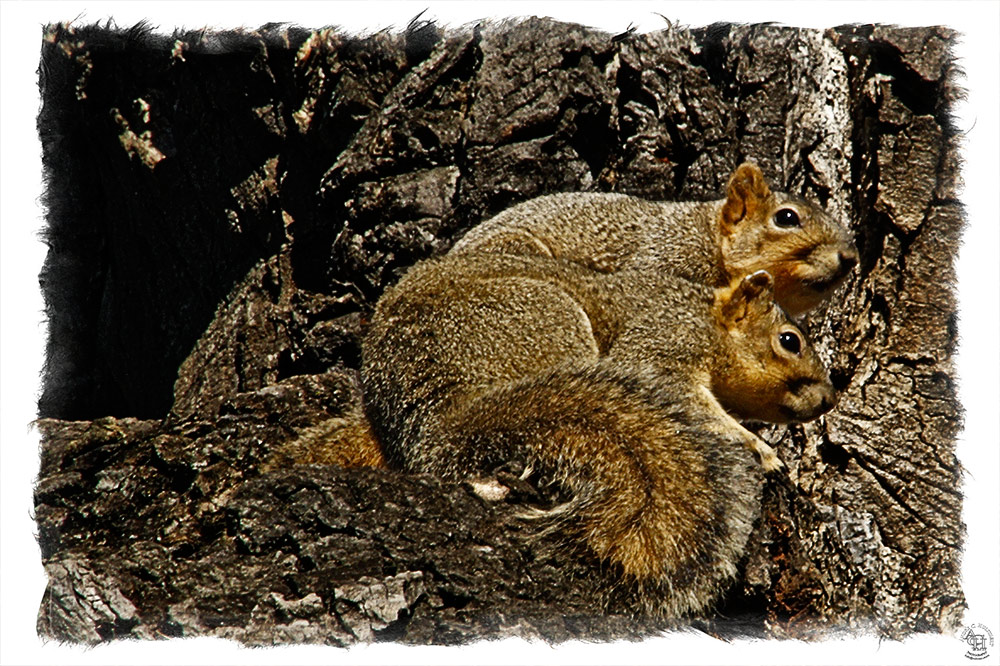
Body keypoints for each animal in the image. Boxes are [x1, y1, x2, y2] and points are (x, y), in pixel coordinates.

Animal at [362, 252, 836, 616]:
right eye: (789, 341)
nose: (829, 398)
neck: (704, 315)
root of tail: (443, 414)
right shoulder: (662, 342)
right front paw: (761, 449)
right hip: (545, 319)